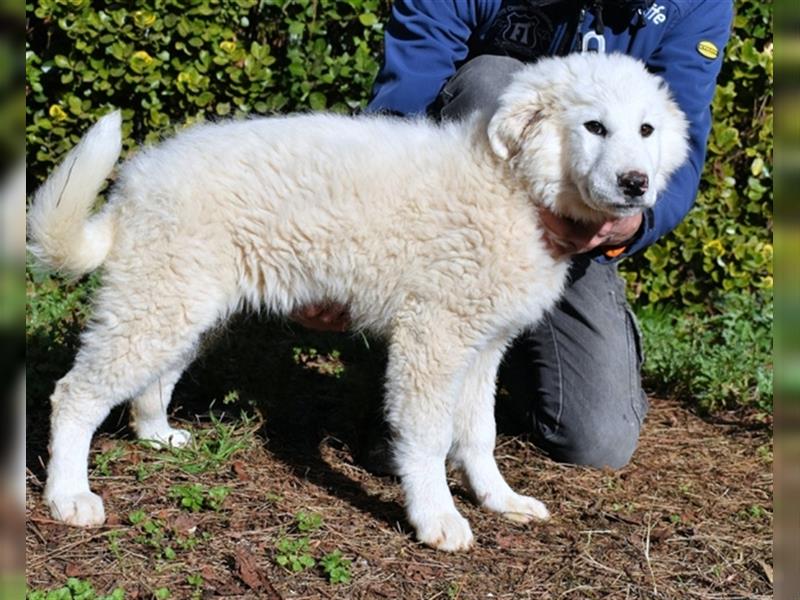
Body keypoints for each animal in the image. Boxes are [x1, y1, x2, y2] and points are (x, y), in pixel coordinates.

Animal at [28, 54, 684, 552]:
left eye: (646, 131)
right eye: (594, 127)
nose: (635, 185)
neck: (516, 187)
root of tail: (132, 187)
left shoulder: (485, 346)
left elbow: (479, 433)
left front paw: (500, 499)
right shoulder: (433, 337)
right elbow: (429, 436)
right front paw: (438, 518)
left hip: (182, 303)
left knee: (151, 380)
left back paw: (158, 435)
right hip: (161, 301)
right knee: (75, 395)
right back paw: (69, 497)